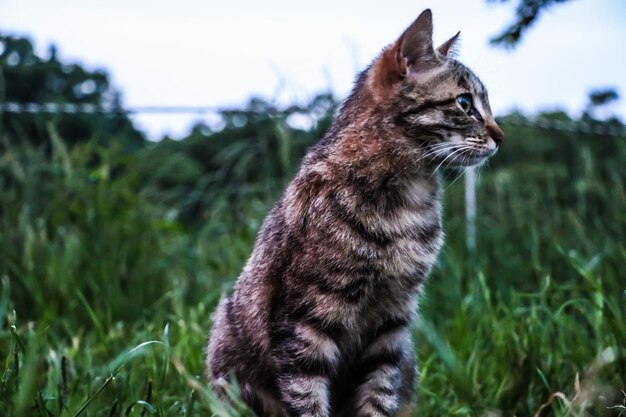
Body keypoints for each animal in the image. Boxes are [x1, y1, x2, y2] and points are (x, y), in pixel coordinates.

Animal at [205, 9, 502, 416]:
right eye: (464, 103)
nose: (501, 136)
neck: (407, 202)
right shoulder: (306, 321)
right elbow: (307, 399)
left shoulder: (392, 326)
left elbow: (379, 396)